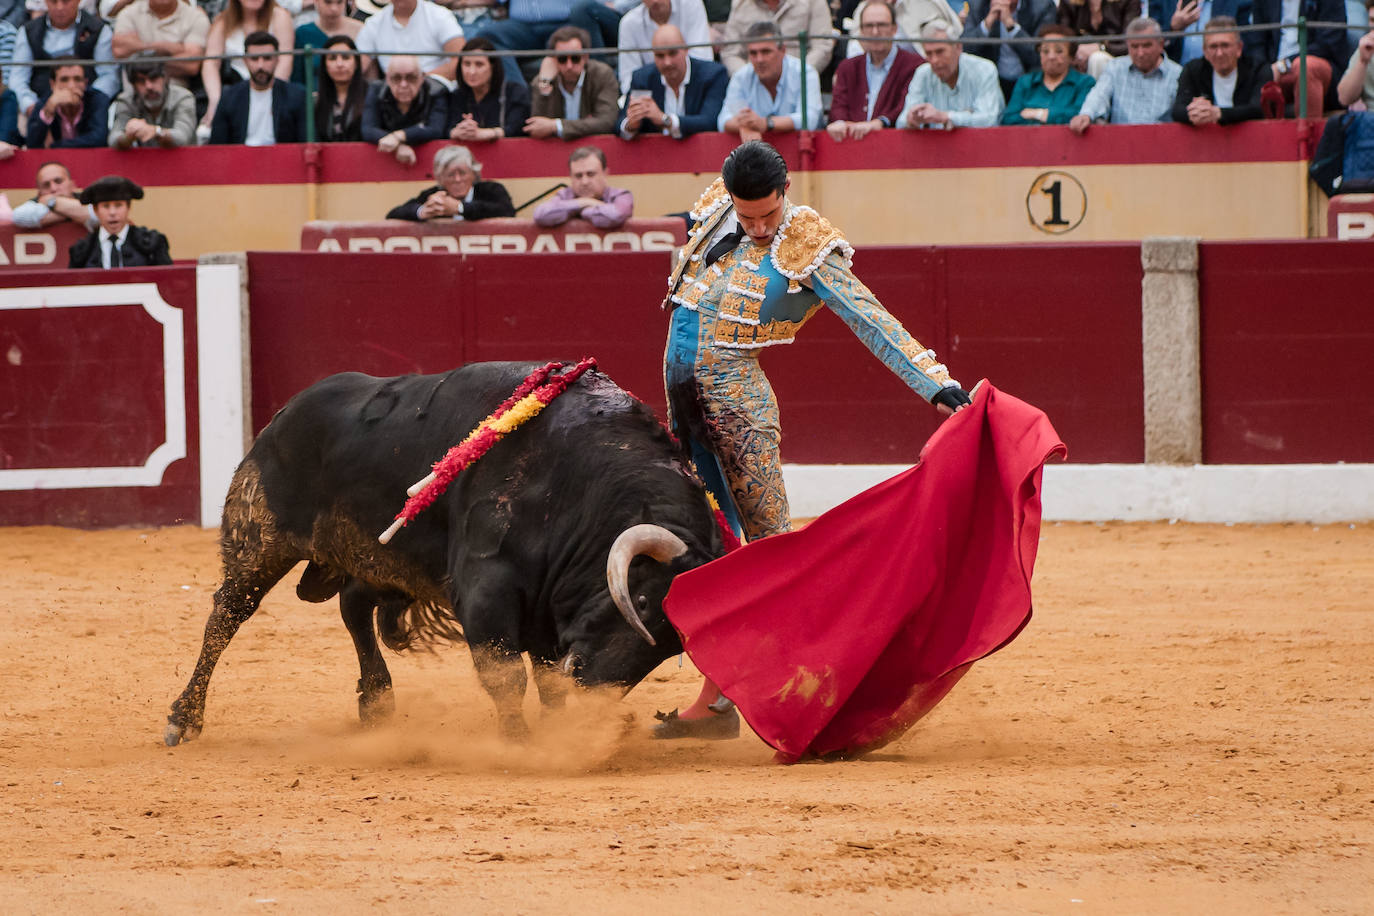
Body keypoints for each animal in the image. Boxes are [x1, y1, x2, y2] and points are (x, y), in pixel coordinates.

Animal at [162, 362, 725, 747]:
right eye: (643, 603)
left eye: (672, 646)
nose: (594, 690)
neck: (580, 483)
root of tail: (280, 416)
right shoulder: (486, 584)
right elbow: (505, 672)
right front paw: (521, 742)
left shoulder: (546, 608)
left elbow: (546, 679)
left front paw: (556, 732)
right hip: (261, 541)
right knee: (226, 615)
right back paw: (183, 719)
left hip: (379, 556)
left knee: (352, 605)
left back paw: (377, 701)